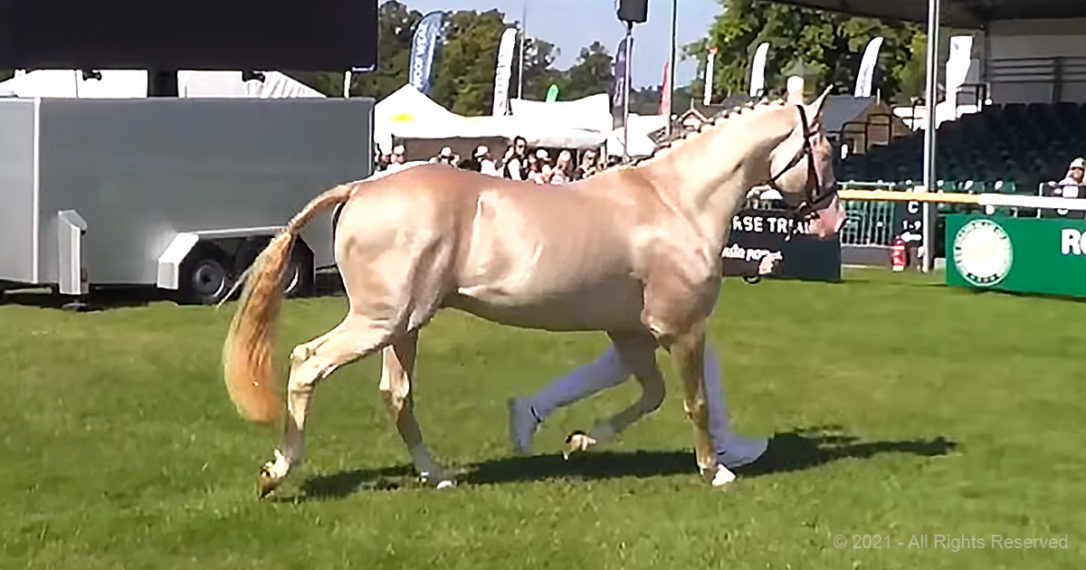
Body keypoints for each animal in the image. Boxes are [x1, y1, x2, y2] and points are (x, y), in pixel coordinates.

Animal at [221, 83, 845, 498]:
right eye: (824, 149)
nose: (830, 217)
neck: (676, 201)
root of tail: (360, 187)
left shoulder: (633, 332)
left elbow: (650, 395)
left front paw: (579, 440)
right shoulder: (682, 328)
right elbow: (693, 401)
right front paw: (716, 470)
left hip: (404, 326)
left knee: (396, 396)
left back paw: (437, 475)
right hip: (379, 321)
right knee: (307, 362)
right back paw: (277, 472)